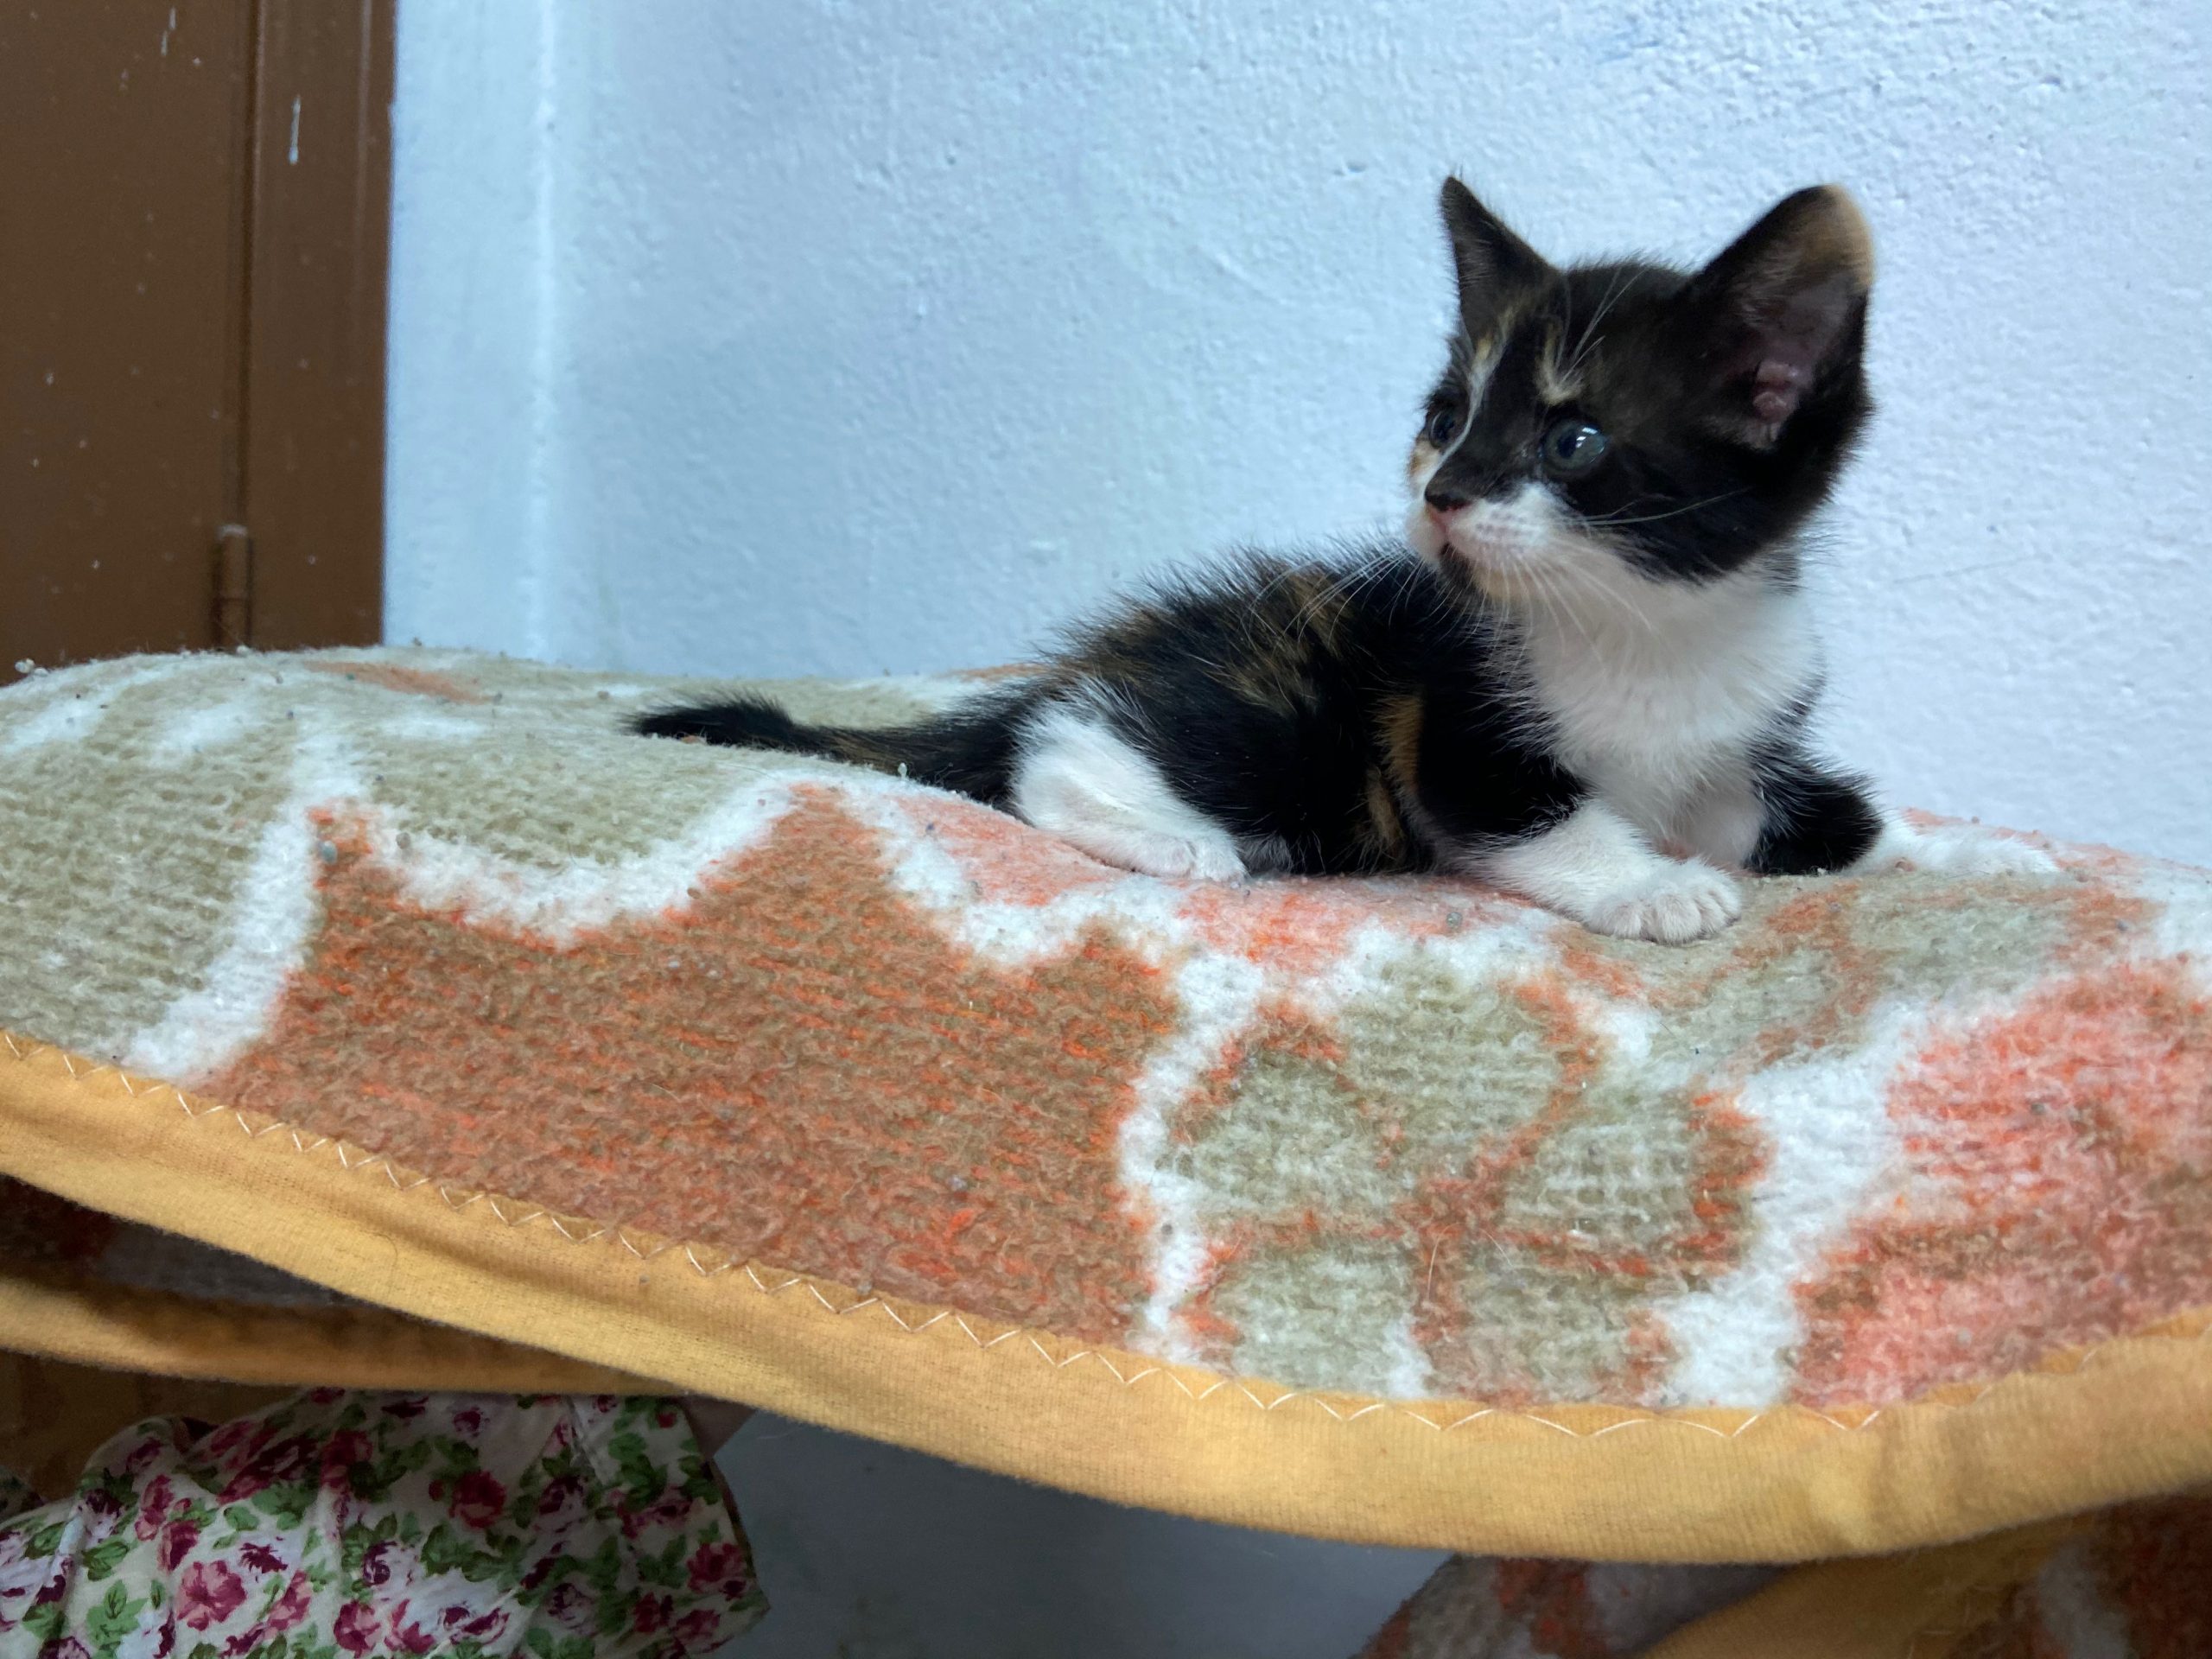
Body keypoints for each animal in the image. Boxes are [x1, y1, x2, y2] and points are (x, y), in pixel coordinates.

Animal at [636, 178, 2052, 943]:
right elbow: (1545, 819)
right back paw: (1171, 837)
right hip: (1295, 720)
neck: (1644, 622)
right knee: (1048, 754)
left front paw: (1976, 858)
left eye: (1574, 437)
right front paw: (1654, 890)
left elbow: (1815, 817)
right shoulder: (1455, 733)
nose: (1442, 492)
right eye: (1446, 417)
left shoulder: (1737, 743)